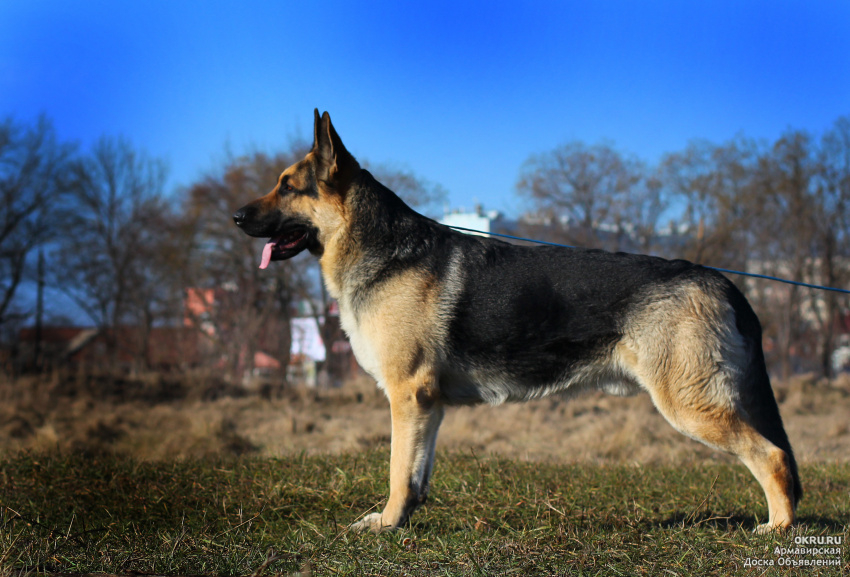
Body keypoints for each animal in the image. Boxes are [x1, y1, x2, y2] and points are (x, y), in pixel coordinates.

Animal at [230, 110, 796, 532]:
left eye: (287, 187)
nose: (234, 217)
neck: (384, 250)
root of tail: (719, 279)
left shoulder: (406, 397)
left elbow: (395, 470)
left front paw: (386, 524)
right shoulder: (427, 405)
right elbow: (416, 475)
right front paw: (405, 520)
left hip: (691, 406)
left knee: (772, 457)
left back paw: (779, 528)